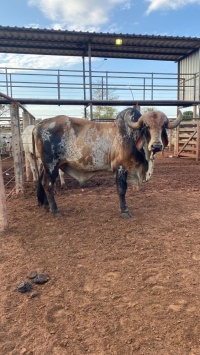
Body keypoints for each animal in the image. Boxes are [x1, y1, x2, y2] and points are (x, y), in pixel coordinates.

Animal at [32, 108, 182, 220]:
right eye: (146, 126)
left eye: (163, 126)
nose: (156, 146)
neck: (131, 136)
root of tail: (40, 123)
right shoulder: (121, 168)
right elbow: (121, 190)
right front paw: (125, 211)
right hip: (51, 165)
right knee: (48, 184)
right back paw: (55, 210)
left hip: (44, 165)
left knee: (41, 181)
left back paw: (46, 205)